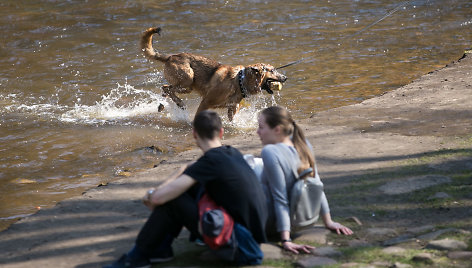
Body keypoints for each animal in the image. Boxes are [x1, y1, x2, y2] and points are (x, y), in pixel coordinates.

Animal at [140, 26, 288, 121]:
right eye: (272, 70)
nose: (286, 78)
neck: (239, 82)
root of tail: (170, 56)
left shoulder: (232, 109)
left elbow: (231, 119)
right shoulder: (206, 102)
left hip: (187, 86)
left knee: (166, 89)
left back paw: (168, 104)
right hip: (188, 79)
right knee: (166, 88)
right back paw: (178, 103)